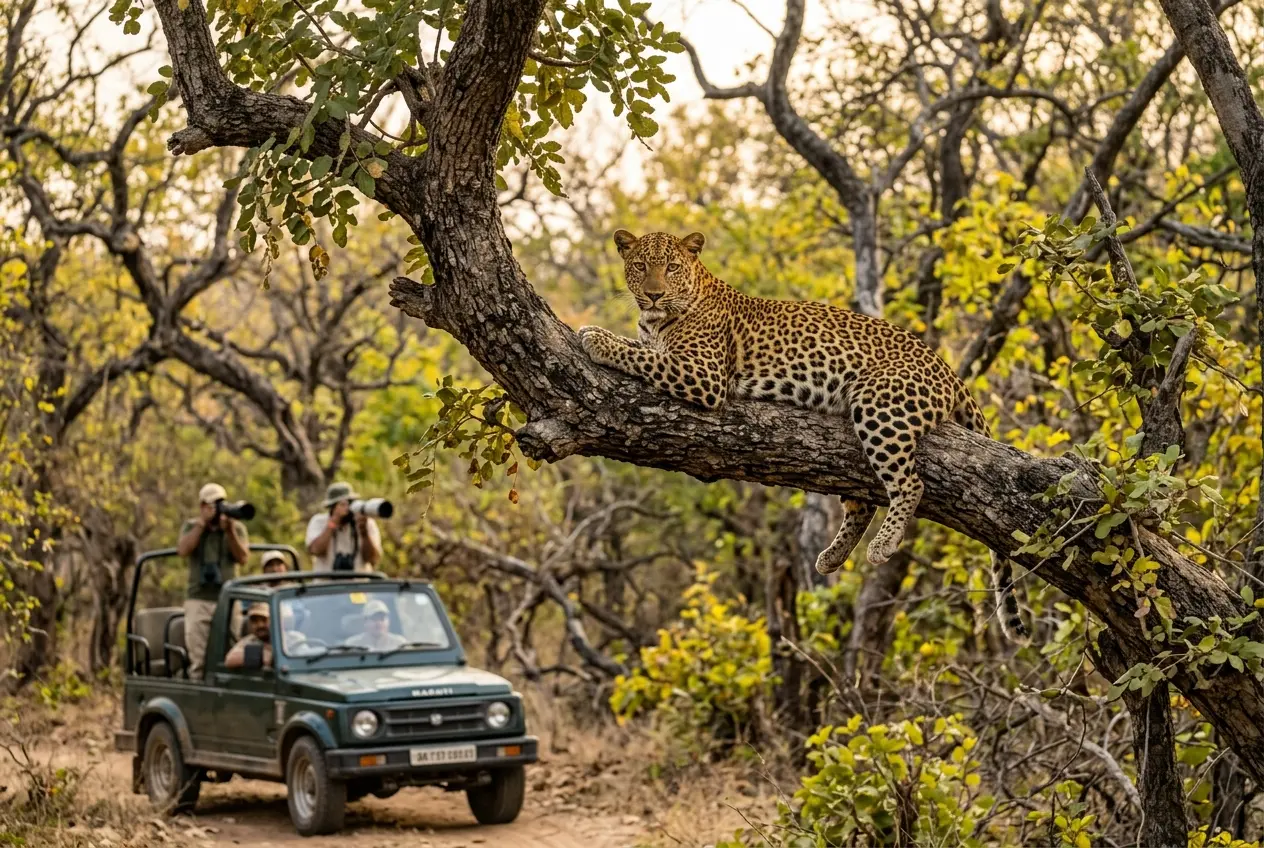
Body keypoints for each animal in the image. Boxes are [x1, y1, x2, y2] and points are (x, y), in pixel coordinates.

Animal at [577, 228, 1027, 642]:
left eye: (671, 267)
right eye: (640, 266)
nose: (653, 295)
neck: (658, 319)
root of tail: (947, 368)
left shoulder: (702, 374)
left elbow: (641, 355)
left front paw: (596, 338)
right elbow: (641, 347)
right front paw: (601, 332)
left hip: (880, 406)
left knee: (909, 483)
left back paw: (882, 544)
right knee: (863, 502)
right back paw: (831, 557)